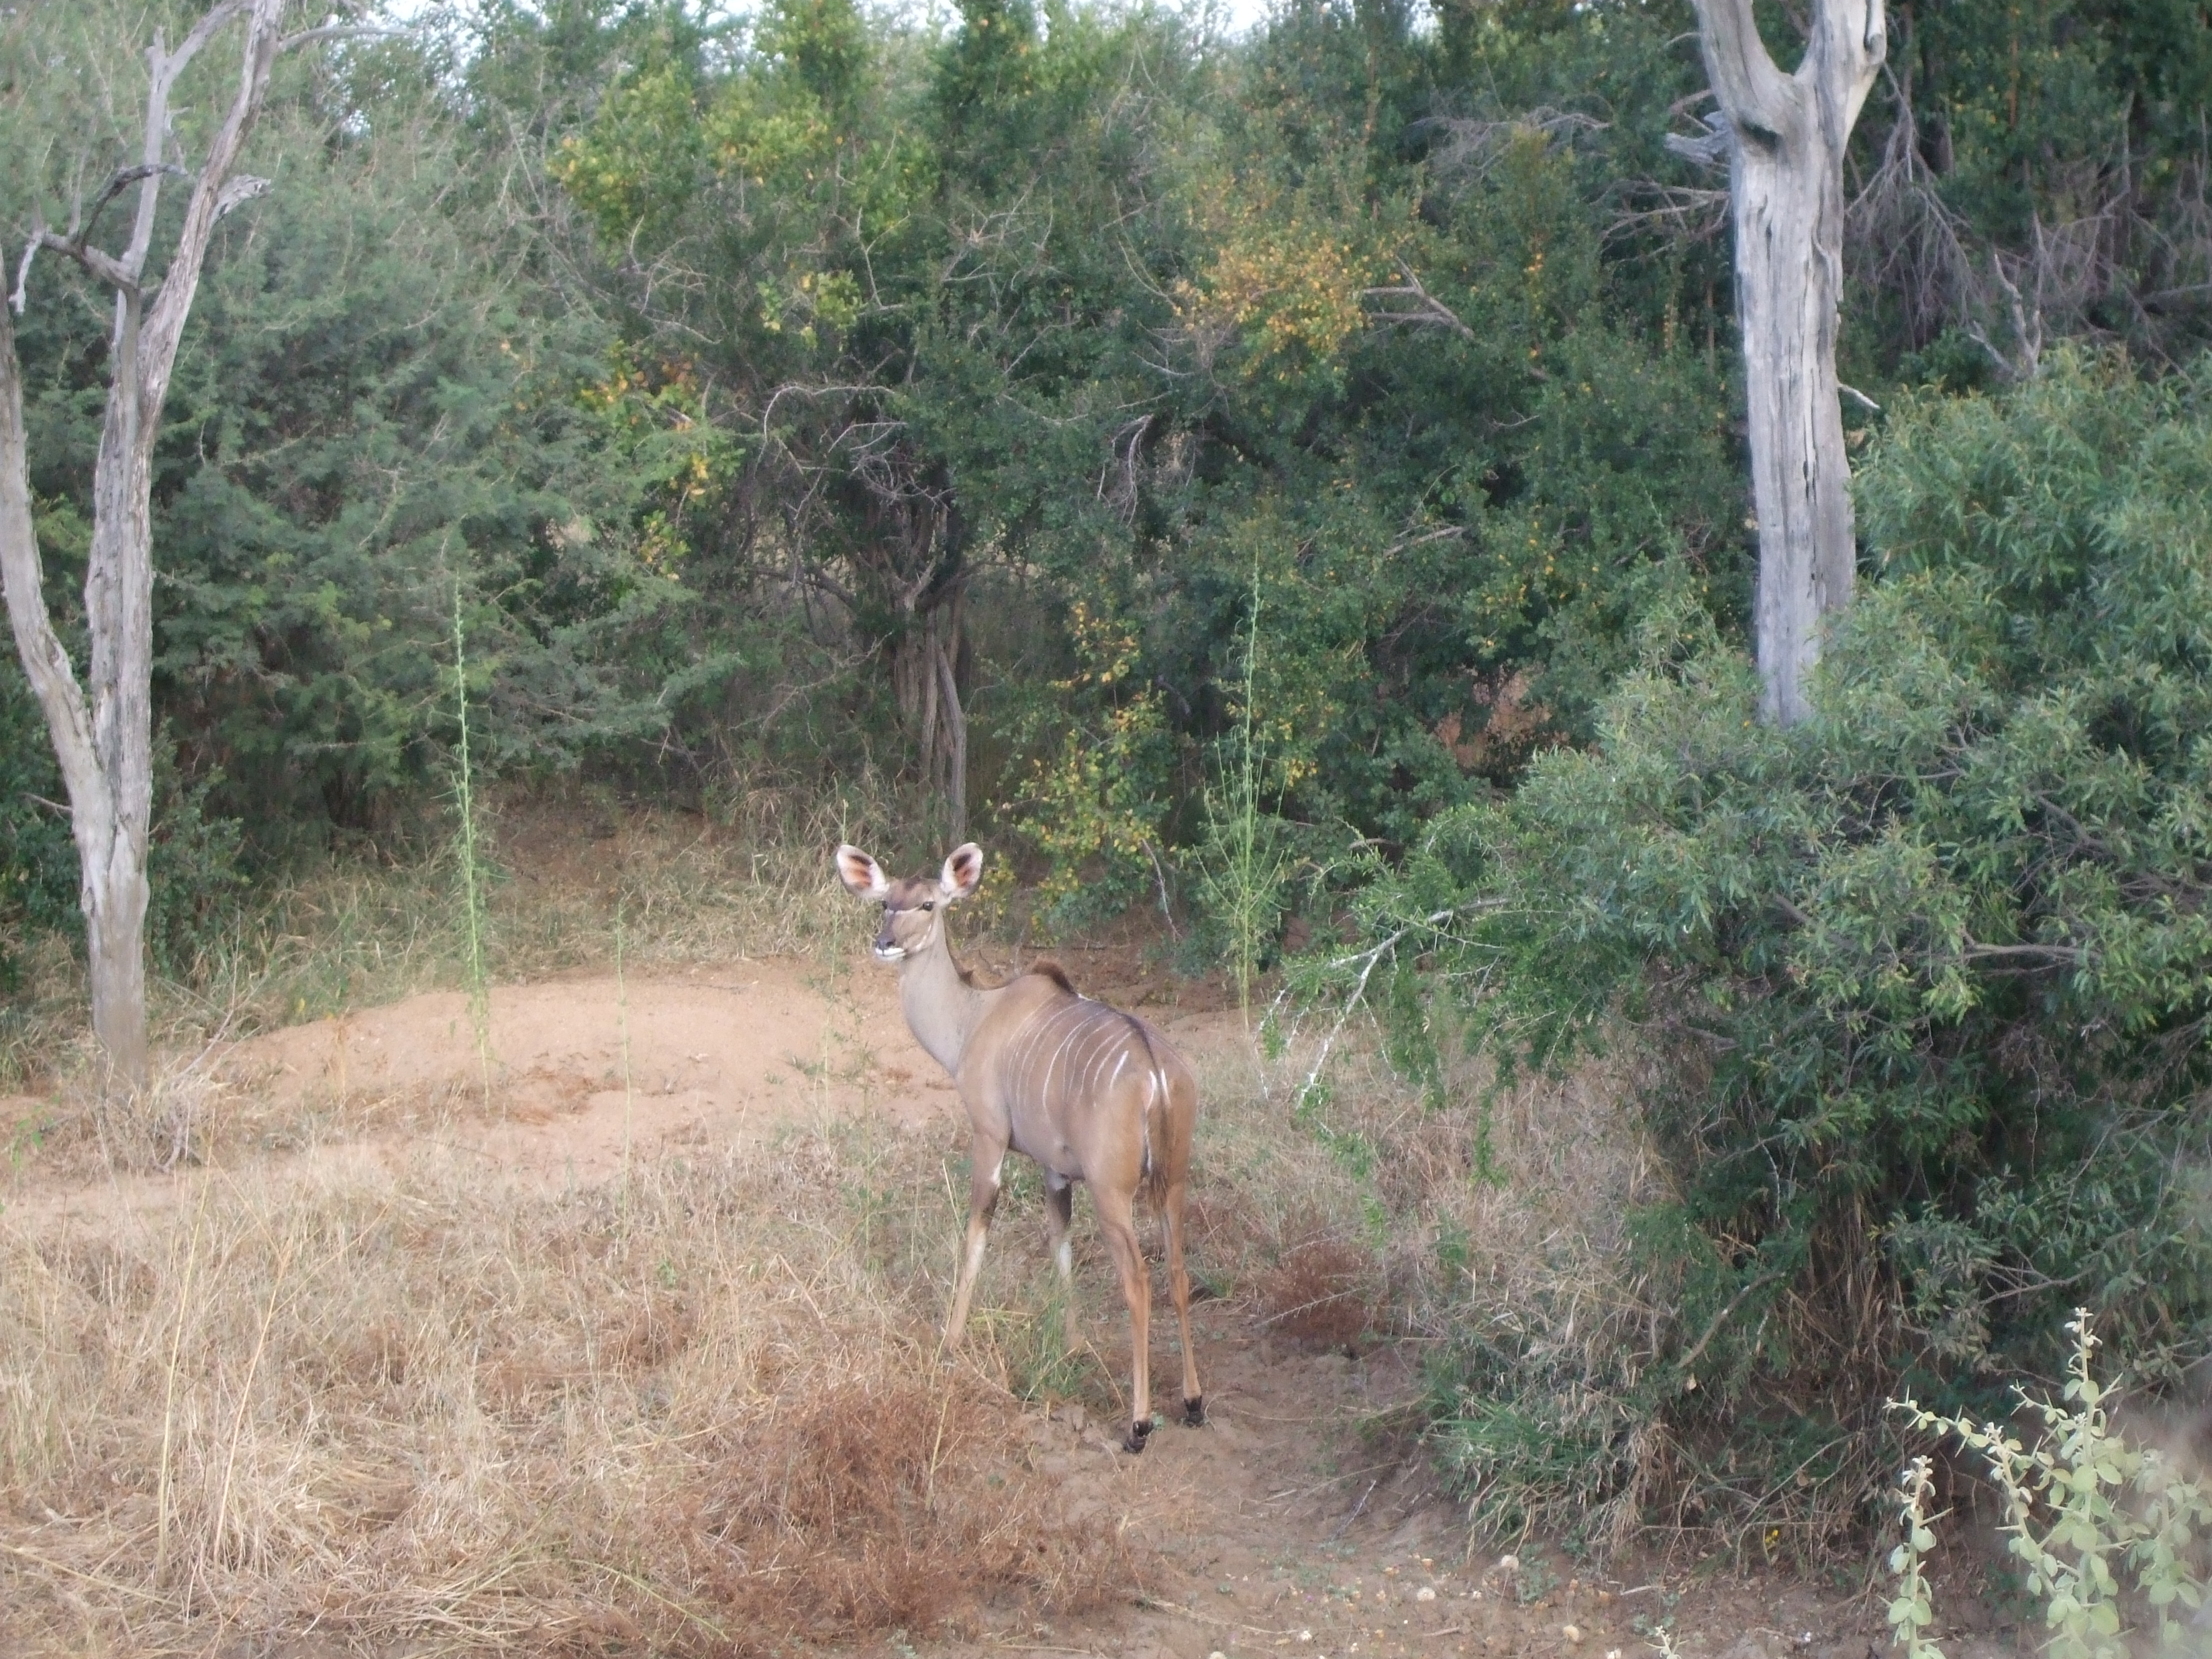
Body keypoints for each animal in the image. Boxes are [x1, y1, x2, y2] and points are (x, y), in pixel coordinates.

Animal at [832, 845, 1212, 1451]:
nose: (885, 941)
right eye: (885, 901)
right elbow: (1060, 1246)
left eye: (928, 904)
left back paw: (1138, 1424)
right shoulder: (1054, 1170)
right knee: (1177, 1272)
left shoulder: (989, 1137)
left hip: (1114, 1192)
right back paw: (1194, 1403)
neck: (971, 1020)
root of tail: (1156, 1070)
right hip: (1172, 1182)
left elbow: (976, 1235)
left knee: (1138, 1281)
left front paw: (951, 1342)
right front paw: (1074, 1345)